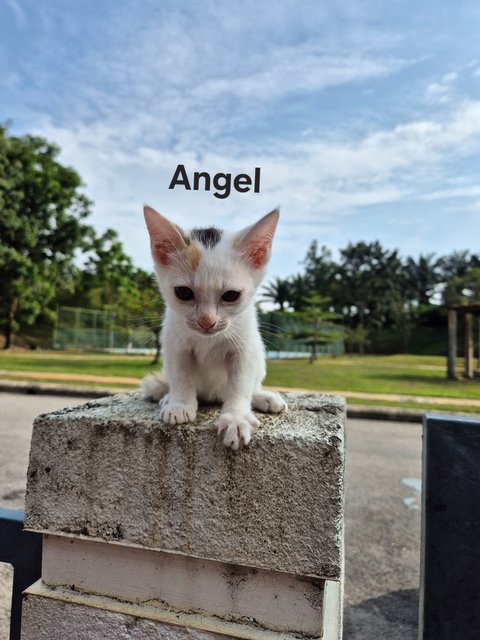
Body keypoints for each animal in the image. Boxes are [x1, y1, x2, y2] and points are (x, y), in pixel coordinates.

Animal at [141, 205, 286, 450]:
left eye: (231, 295)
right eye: (183, 293)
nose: (206, 321)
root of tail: (213, 396)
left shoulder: (246, 347)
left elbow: (241, 382)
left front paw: (236, 418)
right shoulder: (174, 343)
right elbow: (180, 374)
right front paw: (180, 404)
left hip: (258, 354)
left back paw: (262, 397)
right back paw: (169, 397)